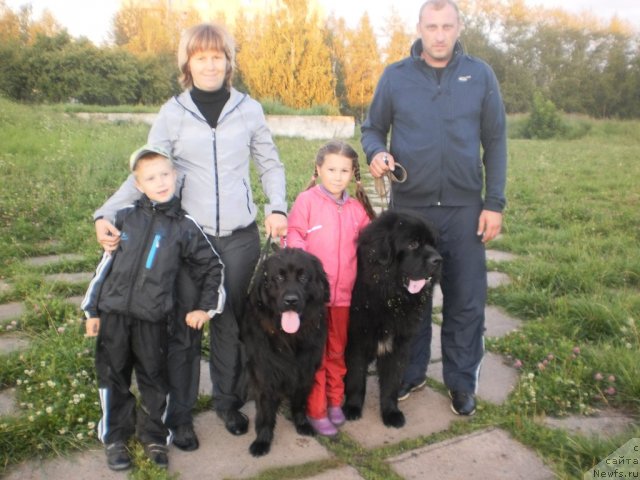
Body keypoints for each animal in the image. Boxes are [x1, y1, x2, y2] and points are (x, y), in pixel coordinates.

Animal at [240, 248, 330, 458]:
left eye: (303, 277)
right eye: (279, 277)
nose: (291, 301)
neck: (289, 338)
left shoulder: (305, 370)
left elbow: (300, 401)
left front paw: (302, 423)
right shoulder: (264, 374)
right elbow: (265, 412)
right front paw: (262, 440)